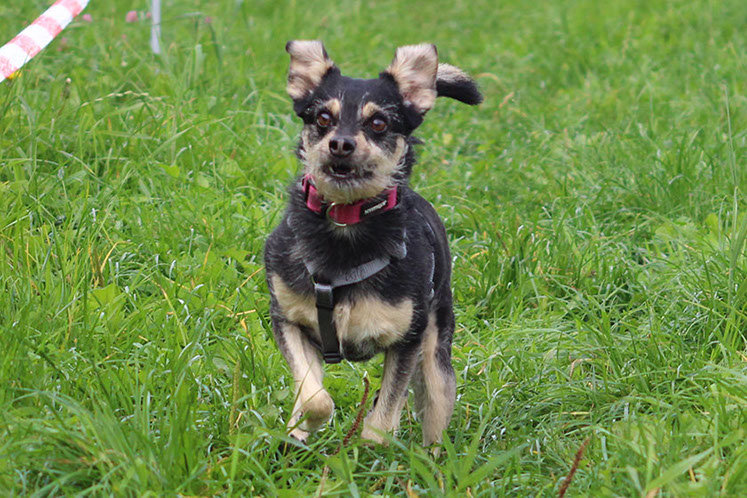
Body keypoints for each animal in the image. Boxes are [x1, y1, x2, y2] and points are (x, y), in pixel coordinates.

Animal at [264, 40, 482, 446]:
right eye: (322, 118)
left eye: (378, 123)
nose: (340, 143)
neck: (344, 225)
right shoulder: (287, 321)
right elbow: (315, 397)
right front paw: (301, 427)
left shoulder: (407, 342)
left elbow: (381, 420)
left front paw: (371, 449)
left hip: (437, 362)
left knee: (435, 415)